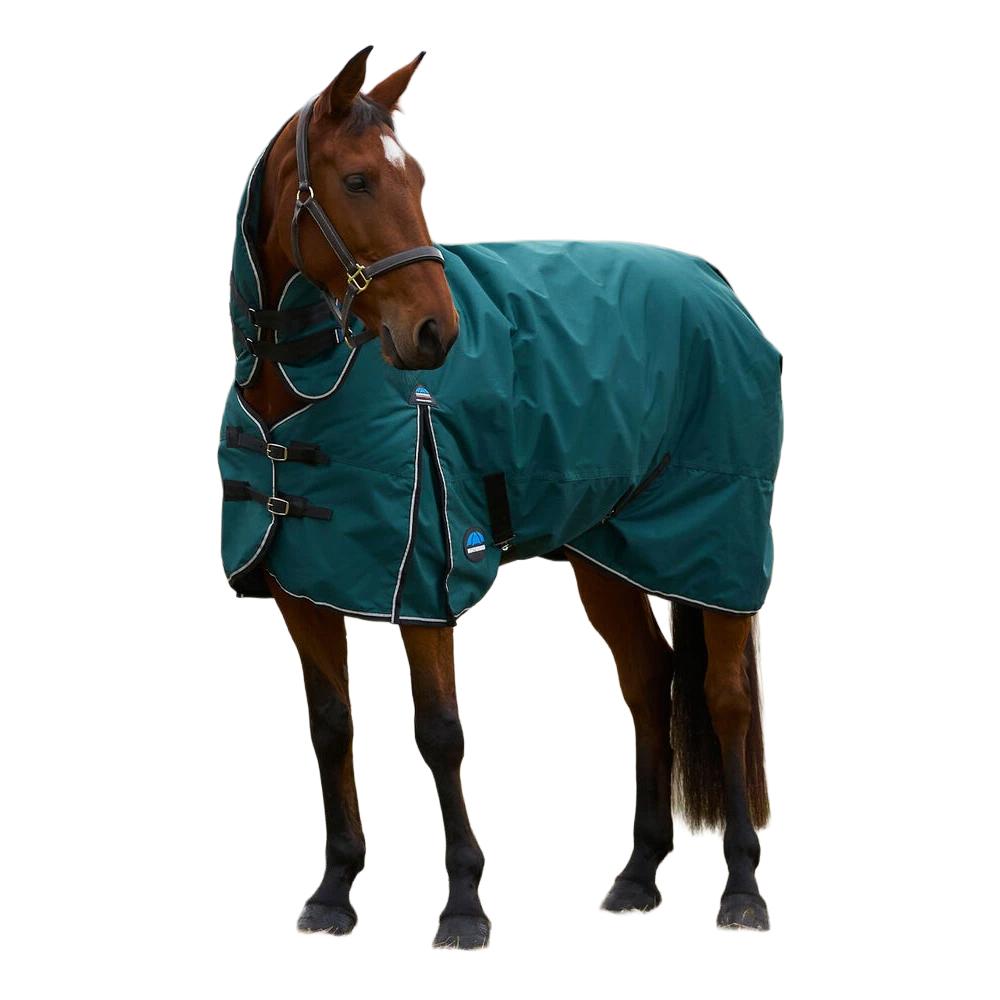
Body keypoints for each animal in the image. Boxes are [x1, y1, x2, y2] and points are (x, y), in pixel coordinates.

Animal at [224, 46, 778, 948]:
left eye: (416, 179)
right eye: (356, 180)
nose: (436, 334)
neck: (307, 389)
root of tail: (715, 285)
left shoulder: (425, 582)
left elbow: (439, 734)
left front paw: (463, 903)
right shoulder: (302, 587)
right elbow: (330, 728)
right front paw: (336, 890)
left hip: (716, 546)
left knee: (723, 700)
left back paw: (742, 890)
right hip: (609, 555)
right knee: (648, 681)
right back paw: (637, 875)